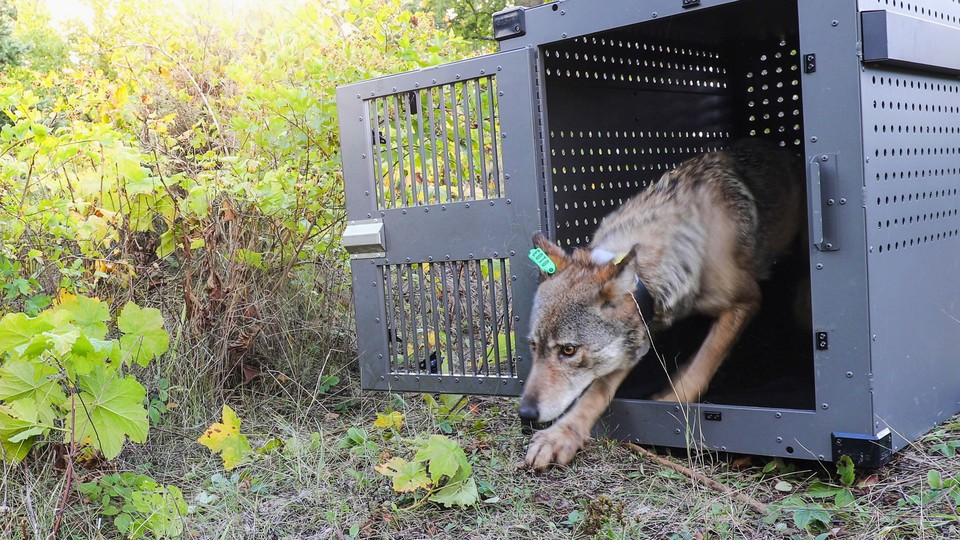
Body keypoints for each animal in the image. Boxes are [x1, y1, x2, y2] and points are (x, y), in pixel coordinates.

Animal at [516, 138, 804, 468]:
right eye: (534, 347)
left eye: (568, 350)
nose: (525, 413)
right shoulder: (639, 332)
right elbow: (596, 391)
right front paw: (560, 436)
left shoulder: (747, 299)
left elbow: (705, 360)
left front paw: (671, 399)